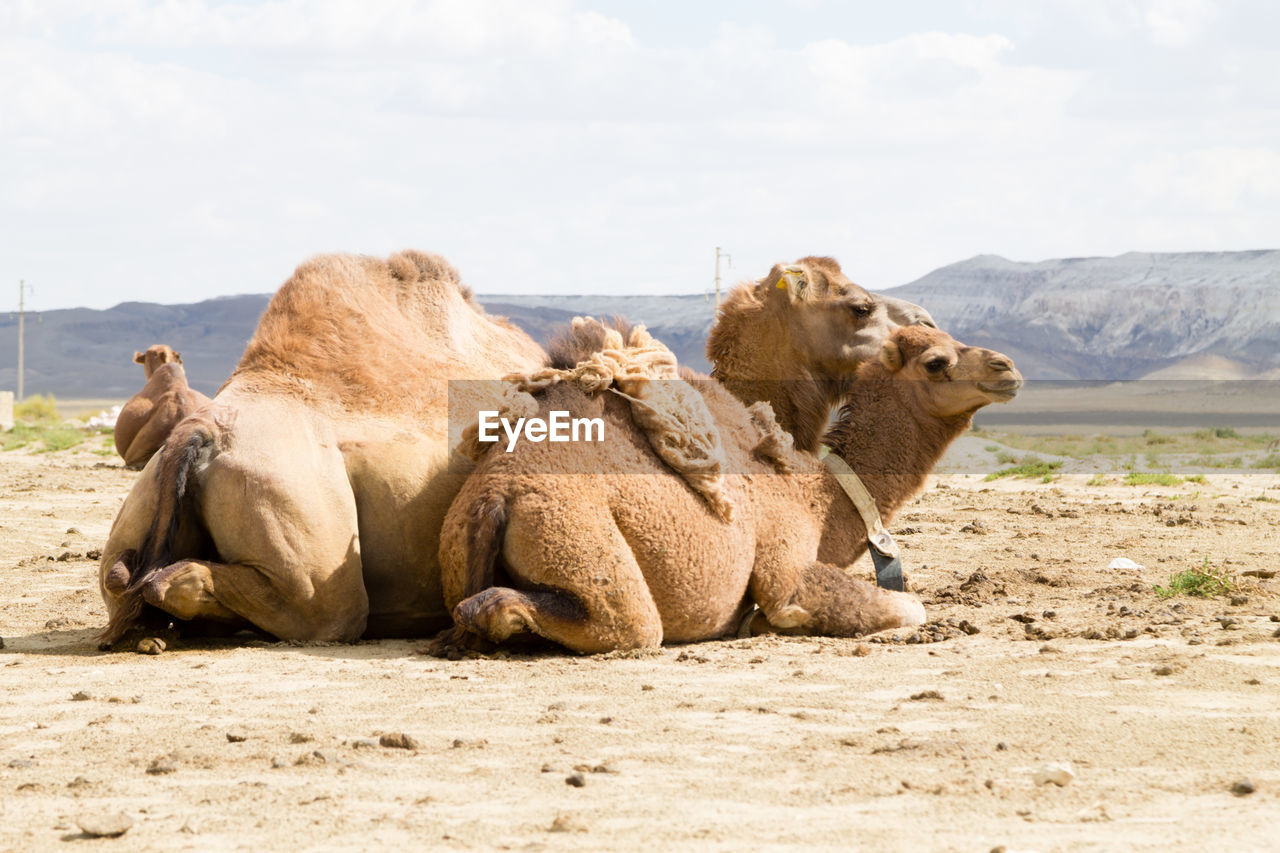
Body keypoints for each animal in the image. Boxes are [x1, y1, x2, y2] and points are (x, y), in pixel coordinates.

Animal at [445, 320, 1024, 650]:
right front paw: (771, 624)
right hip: (578, 535)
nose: (1008, 368)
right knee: (625, 623)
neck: (816, 497)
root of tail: (494, 497)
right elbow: (908, 606)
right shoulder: (784, 560)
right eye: (936, 362)